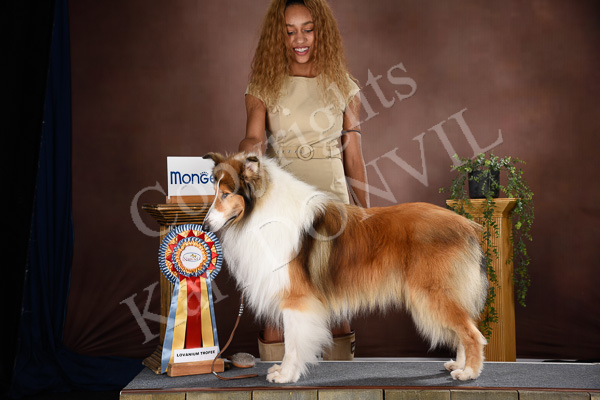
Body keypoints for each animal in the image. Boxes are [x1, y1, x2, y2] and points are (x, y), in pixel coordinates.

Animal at [202, 152, 488, 383]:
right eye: (215, 192)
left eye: (226, 194)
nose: (204, 226)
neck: (261, 210)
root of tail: (466, 225)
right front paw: (283, 371)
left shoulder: (296, 300)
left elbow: (292, 343)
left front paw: (286, 375)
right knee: (463, 331)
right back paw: (458, 365)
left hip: (434, 292)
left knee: (472, 333)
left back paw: (469, 373)